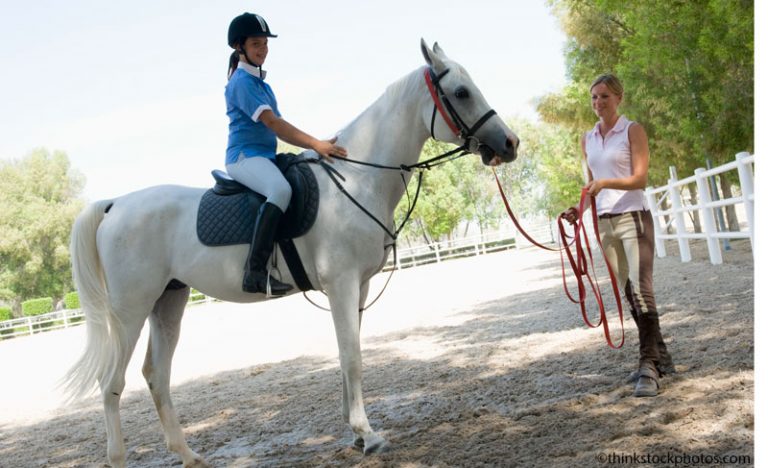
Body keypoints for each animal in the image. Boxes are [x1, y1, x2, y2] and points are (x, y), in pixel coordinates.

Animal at [65, 39, 519, 467]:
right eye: (461, 92)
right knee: (111, 383)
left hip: (168, 302)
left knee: (157, 375)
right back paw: (118, 458)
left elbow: (348, 352)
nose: (510, 143)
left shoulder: (358, 286)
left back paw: (189, 455)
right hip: (130, 310)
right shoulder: (341, 283)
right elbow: (352, 356)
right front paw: (367, 434)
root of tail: (116, 204)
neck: (357, 176)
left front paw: (355, 432)